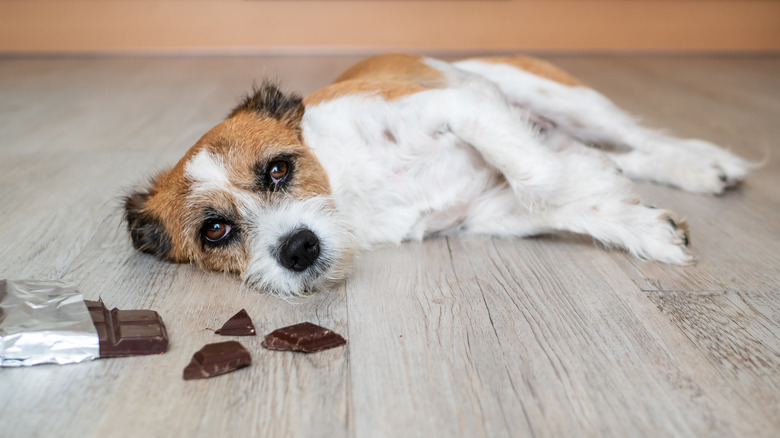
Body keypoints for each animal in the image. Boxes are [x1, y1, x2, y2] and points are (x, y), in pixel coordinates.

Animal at [123, 53, 748, 296]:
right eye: (215, 231)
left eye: (278, 169)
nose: (298, 248)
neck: (351, 188)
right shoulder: (487, 213)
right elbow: (553, 198)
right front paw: (639, 224)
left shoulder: (460, 105)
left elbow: (539, 177)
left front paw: (592, 185)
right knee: (622, 152)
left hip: (561, 98)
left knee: (639, 138)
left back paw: (707, 163)